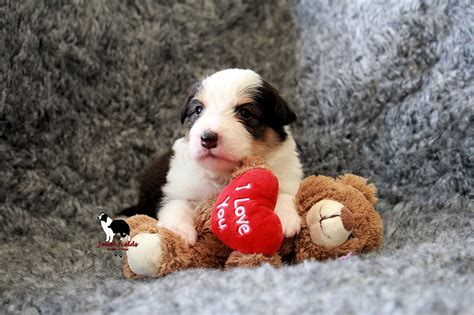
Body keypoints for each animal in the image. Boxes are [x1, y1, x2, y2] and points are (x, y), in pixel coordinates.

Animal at [120, 69, 302, 247]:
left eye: (245, 113)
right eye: (198, 109)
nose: (207, 138)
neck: (222, 175)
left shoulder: (286, 174)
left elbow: (284, 193)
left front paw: (284, 218)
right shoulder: (177, 188)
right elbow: (178, 205)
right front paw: (179, 233)